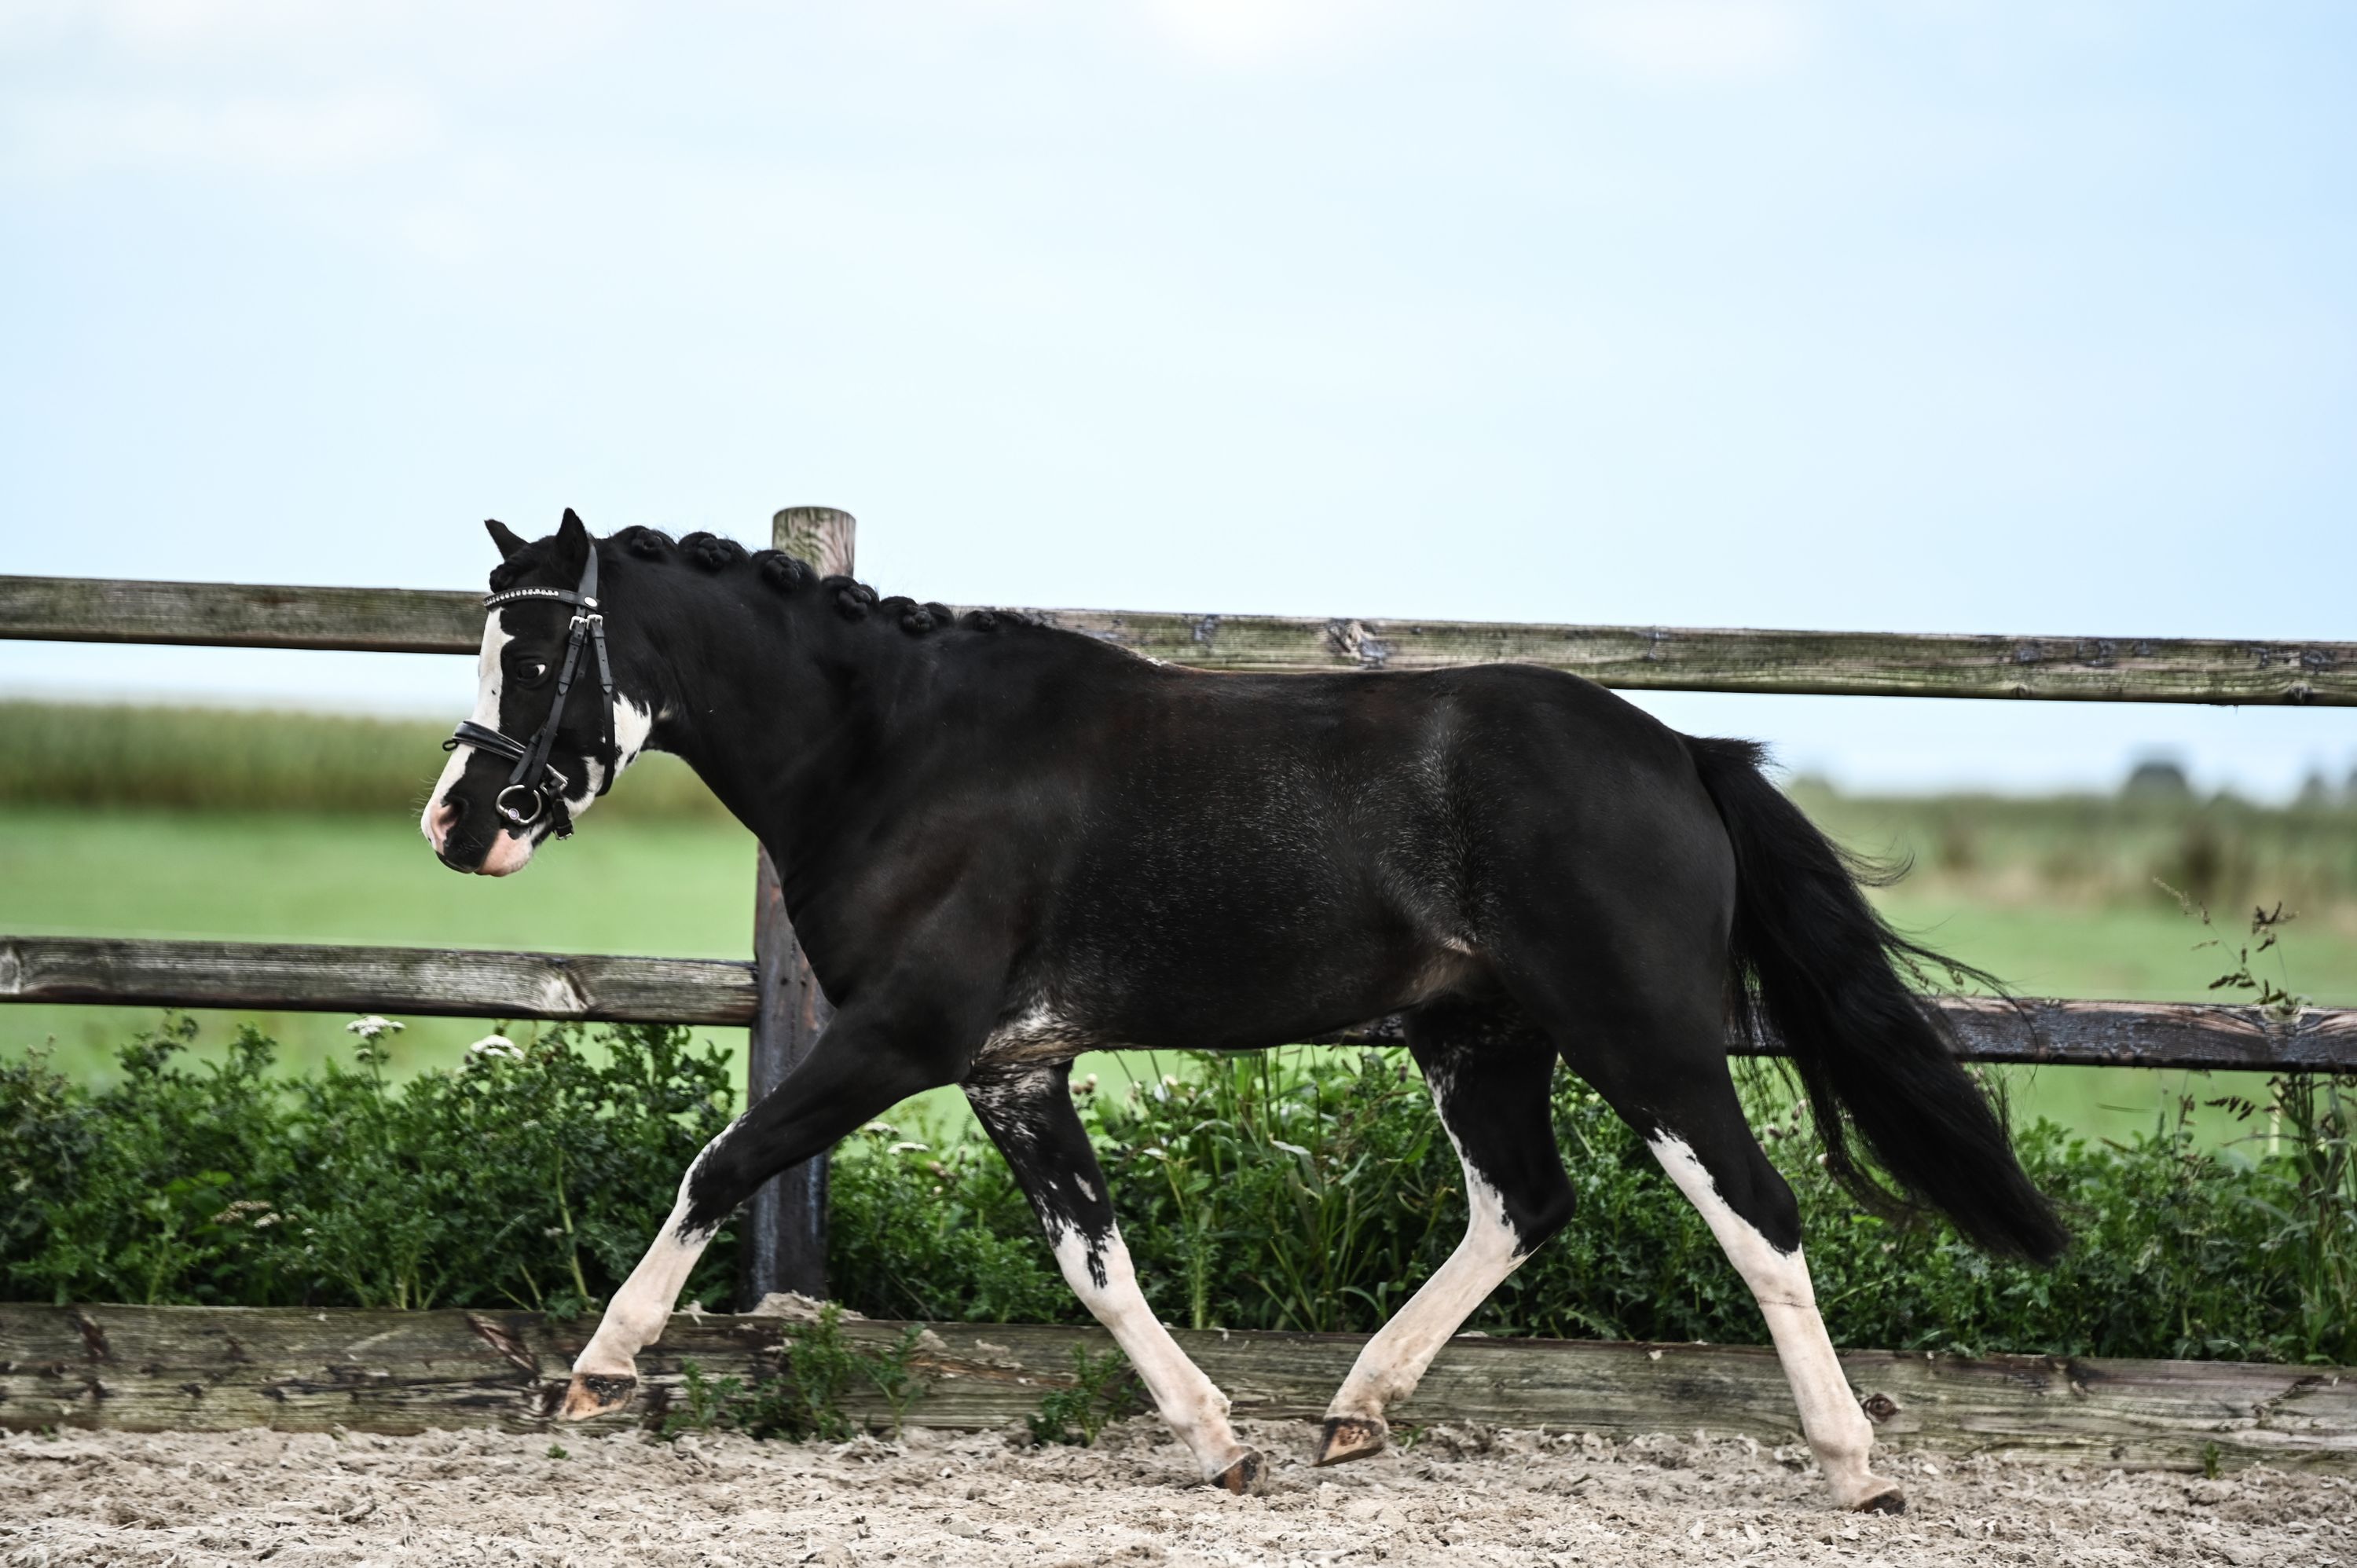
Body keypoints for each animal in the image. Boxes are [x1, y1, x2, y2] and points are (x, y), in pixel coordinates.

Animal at [422, 510, 2066, 1512]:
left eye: (541, 648)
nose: (457, 824)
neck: (896, 755)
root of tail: (1680, 750)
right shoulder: (1017, 1069)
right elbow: (1095, 1262)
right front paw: (1221, 1445)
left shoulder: (900, 1038)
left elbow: (721, 1164)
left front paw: (596, 1373)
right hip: (1479, 1039)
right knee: (1524, 1205)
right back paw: (1354, 1408)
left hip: (1640, 1036)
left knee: (1759, 1212)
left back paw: (1857, 1465)